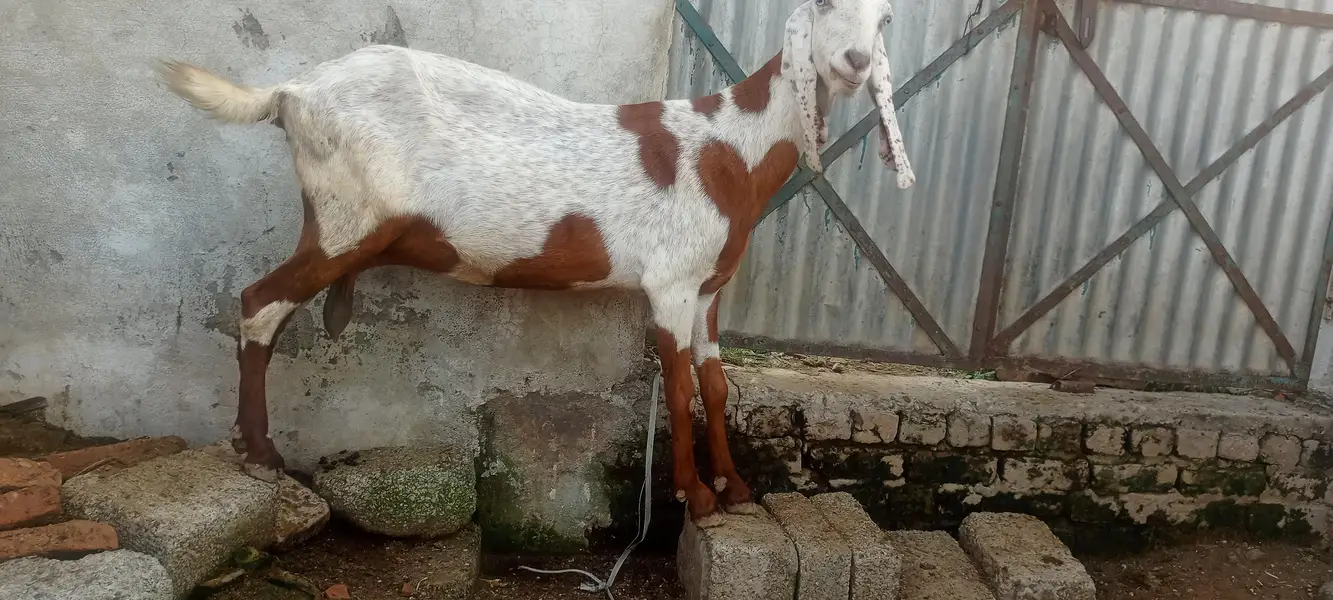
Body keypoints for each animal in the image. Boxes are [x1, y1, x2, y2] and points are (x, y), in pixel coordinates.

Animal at [158, 0, 914, 527]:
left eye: (885, 18)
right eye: (823, 4)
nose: (853, 60)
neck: (727, 148)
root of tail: (290, 93)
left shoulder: (707, 290)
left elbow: (716, 386)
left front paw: (737, 488)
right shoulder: (669, 284)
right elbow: (675, 389)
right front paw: (696, 497)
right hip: (346, 220)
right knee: (260, 303)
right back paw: (260, 453)